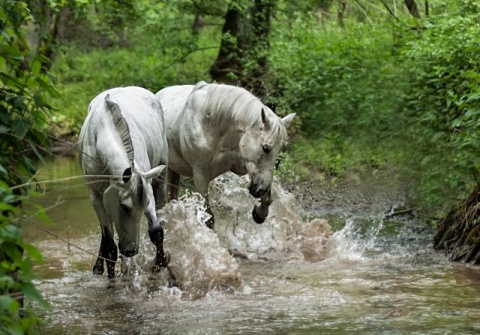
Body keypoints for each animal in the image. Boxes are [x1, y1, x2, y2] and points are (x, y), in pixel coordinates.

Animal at [78, 86, 170, 278]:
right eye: (125, 207)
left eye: (145, 204)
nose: (131, 251)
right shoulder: (97, 198)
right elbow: (110, 246)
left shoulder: (147, 187)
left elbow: (156, 231)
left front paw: (160, 262)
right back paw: (100, 267)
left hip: (161, 178)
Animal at [156, 81, 294, 228]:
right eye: (266, 148)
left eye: (278, 150)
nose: (261, 189)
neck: (211, 124)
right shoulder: (200, 176)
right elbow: (209, 218)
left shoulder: (244, 165)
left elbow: (267, 198)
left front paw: (259, 213)